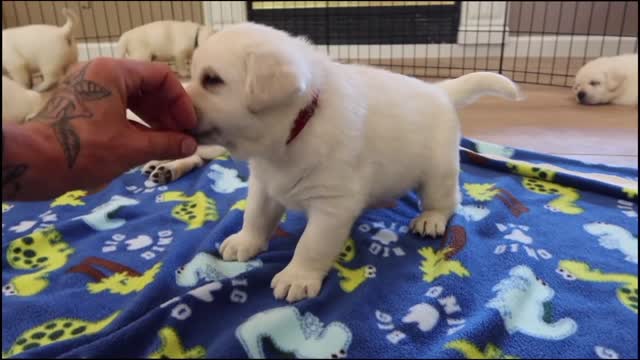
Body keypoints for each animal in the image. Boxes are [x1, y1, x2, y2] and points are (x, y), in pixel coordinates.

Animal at [182, 22, 524, 302]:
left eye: (212, 80)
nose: (179, 98)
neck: (298, 126)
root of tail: (438, 90)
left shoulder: (331, 204)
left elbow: (311, 244)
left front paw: (297, 276)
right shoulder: (264, 184)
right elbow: (255, 215)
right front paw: (245, 241)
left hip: (439, 170)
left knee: (446, 200)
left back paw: (431, 219)